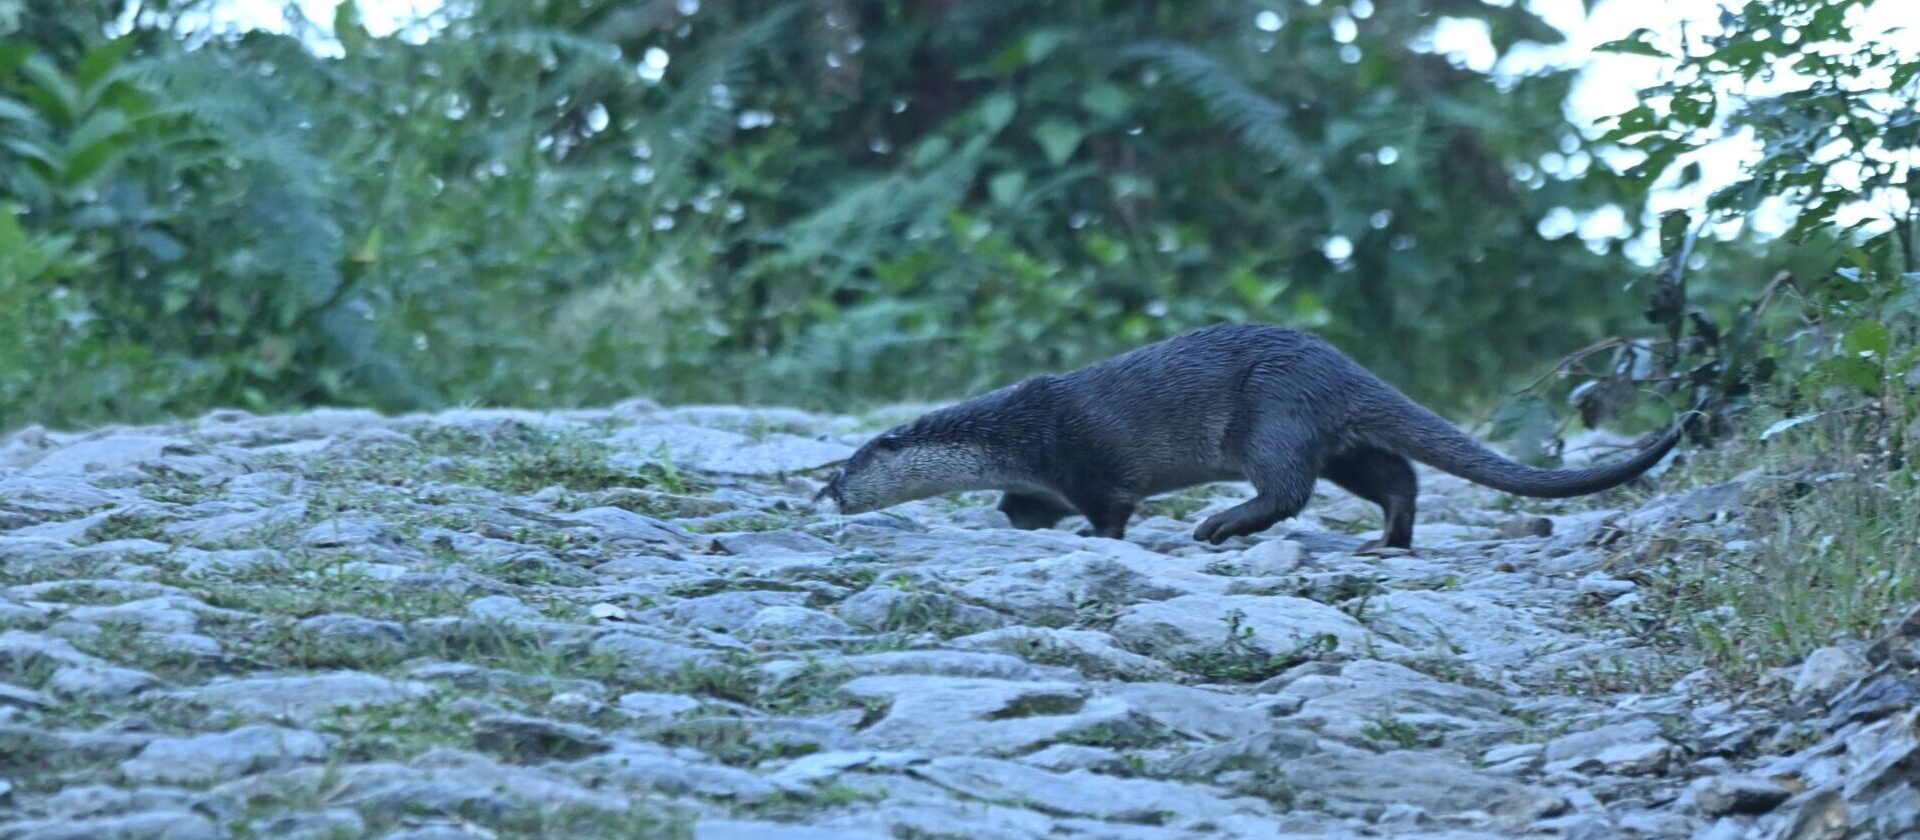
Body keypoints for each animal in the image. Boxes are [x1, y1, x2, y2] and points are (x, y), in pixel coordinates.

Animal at [818, 324, 1681, 549]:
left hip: (1274, 414)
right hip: (1334, 435)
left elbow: (1109, 510)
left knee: (1288, 489)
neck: (1010, 434)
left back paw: (1220, 525)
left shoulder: (1082, 459)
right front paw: (1016, 521)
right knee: (1395, 476)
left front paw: (1100, 541)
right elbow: (1025, 507)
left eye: (846, 466)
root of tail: (1339, 364)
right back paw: (1387, 543)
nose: (824, 493)